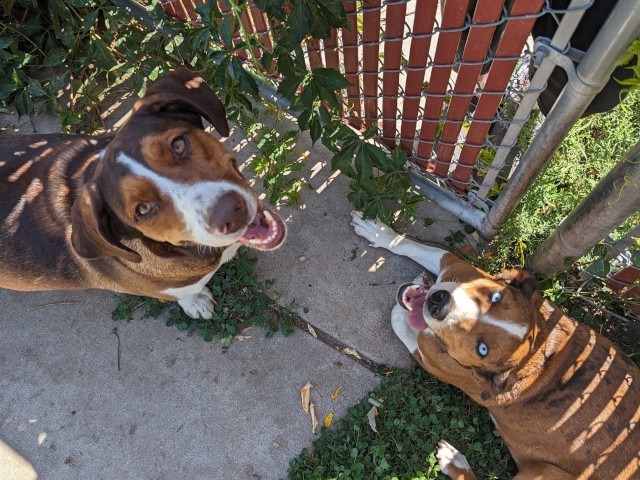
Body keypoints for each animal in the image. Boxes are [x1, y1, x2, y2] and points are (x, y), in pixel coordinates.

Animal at [350, 212, 640, 480]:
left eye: (483, 349)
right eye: (495, 296)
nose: (438, 303)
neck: (537, 347)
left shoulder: (434, 361)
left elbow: (409, 332)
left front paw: (401, 316)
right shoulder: (457, 267)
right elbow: (415, 246)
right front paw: (379, 233)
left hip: (541, 472)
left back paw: (455, 462)